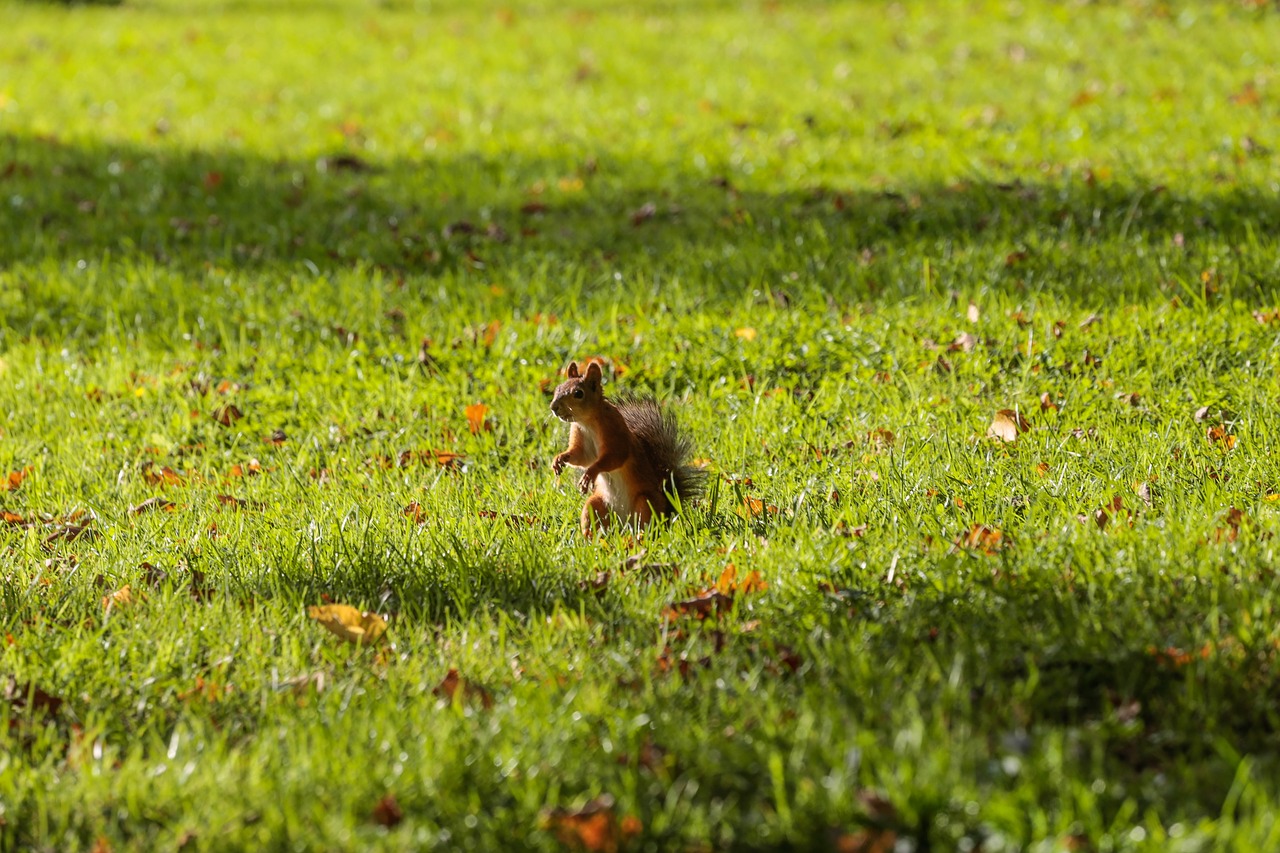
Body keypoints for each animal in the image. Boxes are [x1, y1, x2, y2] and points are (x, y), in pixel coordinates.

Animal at [550, 361, 711, 535]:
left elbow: (615, 457)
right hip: (595, 505)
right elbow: (580, 457)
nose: (554, 407)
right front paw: (559, 459)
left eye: (578, 393)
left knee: (646, 524)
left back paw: (640, 537)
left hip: (645, 503)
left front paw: (590, 473)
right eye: (558, 388)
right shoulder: (581, 439)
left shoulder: (616, 433)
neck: (587, 423)